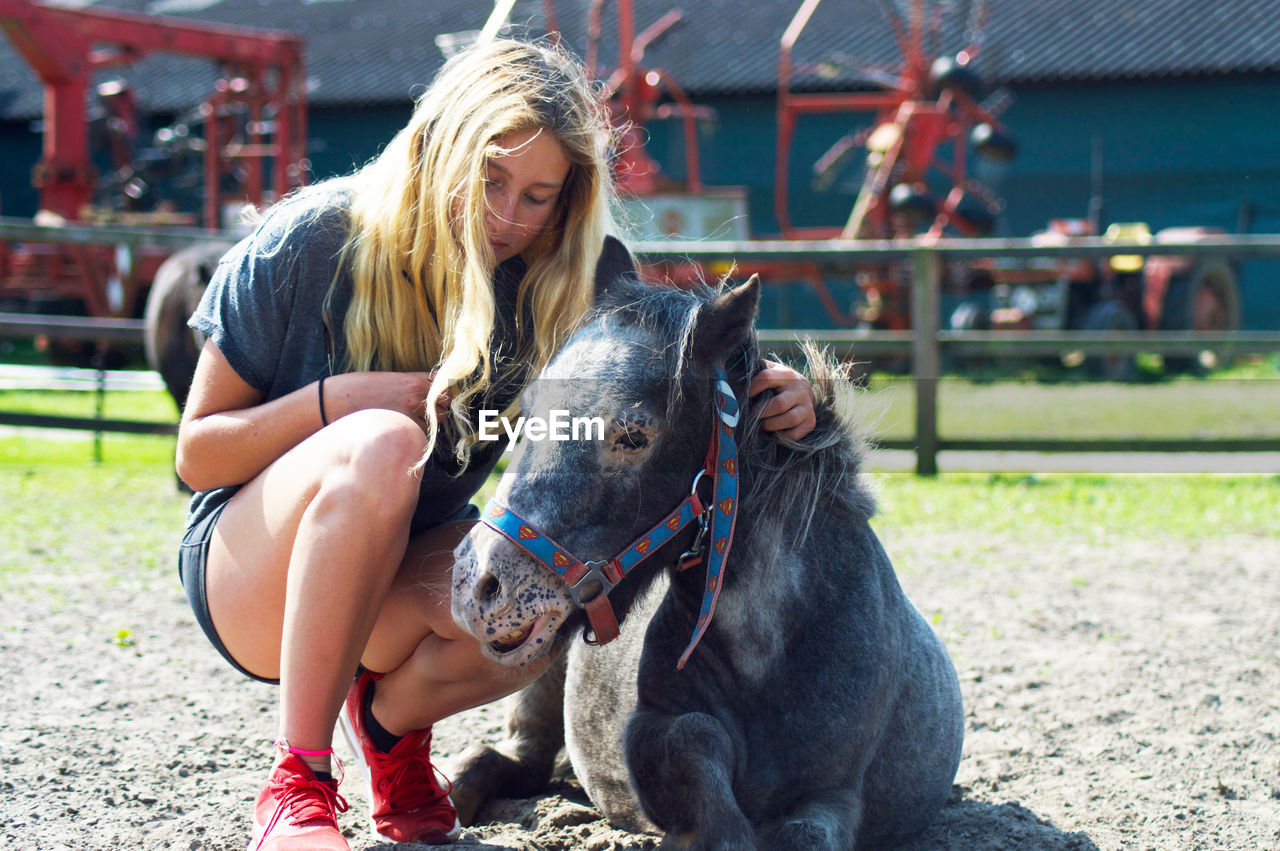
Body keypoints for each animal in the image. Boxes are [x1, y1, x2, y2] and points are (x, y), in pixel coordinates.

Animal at [450, 272, 962, 849]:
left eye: (634, 434)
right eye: (529, 415)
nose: (478, 583)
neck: (772, 658)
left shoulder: (835, 794)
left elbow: (802, 833)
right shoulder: (654, 729)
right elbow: (692, 740)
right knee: (509, 757)